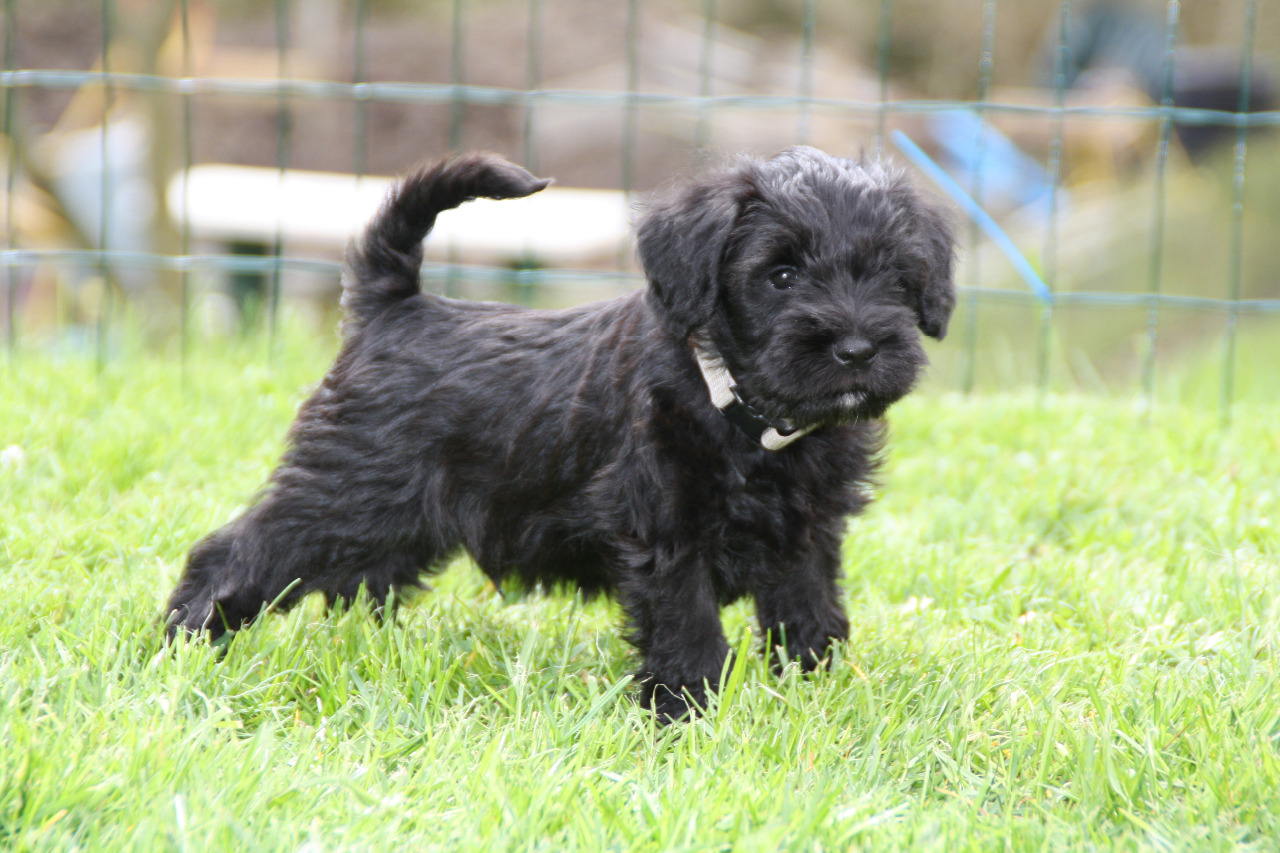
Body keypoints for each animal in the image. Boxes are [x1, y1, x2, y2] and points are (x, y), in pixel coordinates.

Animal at [165, 147, 955, 721]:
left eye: (894, 275)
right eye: (781, 274)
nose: (856, 348)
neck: (739, 406)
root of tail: (393, 307)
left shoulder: (808, 538)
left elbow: (810, 616)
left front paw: (819, 691)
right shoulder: (667, 537)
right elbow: (690, 630)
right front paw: (688, 716)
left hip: (390, 524)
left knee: (351, 581)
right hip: (340, 493)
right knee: (231, 554)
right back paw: (185, 644)